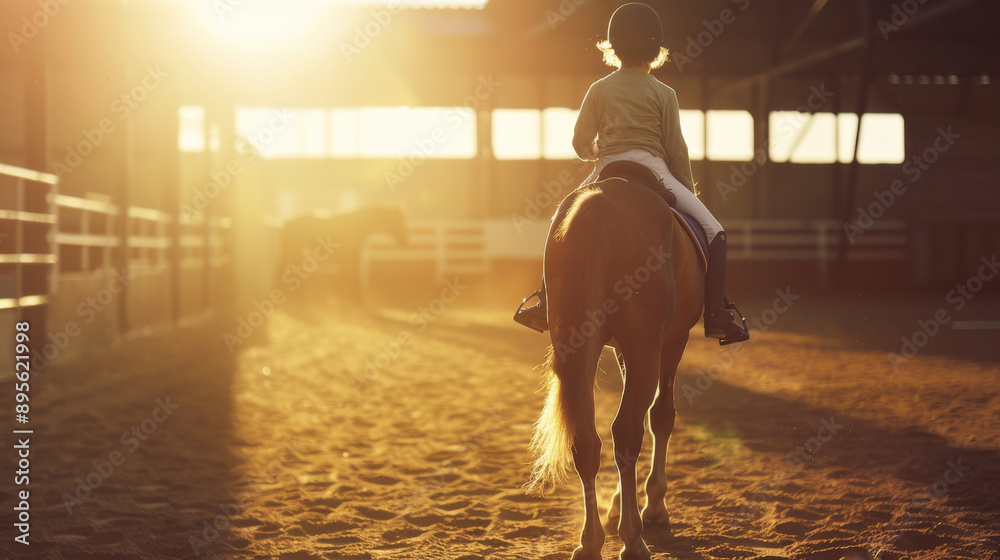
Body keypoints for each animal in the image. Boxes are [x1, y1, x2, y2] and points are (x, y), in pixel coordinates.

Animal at [278, 204, 407, 301]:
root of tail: (286, 222)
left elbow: (346, 273)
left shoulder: (350, 256)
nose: (404, 242)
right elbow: (346, 273)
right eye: (397, 221)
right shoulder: (349, 255)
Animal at [527, 165, 705, 560]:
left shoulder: (622, 349)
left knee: (587, 440)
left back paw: (591, 541)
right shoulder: (670, 341)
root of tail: (601, 204)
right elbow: (661, 416)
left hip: (582, 345)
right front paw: (651, 505)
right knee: (628, 431)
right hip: (646, 346)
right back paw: (634, 538)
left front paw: (618, 506)